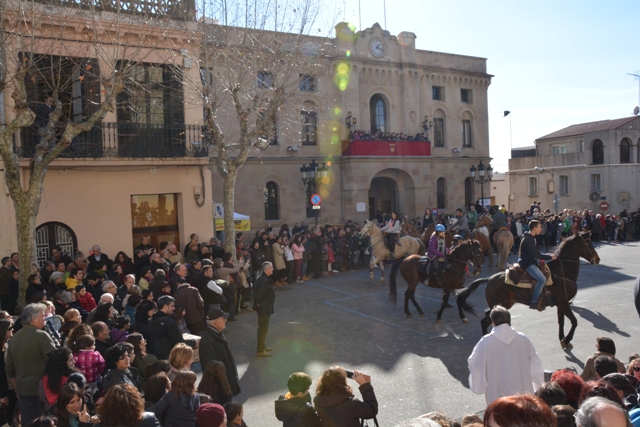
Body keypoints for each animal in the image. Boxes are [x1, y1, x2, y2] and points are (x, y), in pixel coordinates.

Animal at [456, 234, 600, 352]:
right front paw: (567, 339)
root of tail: (489, 279)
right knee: (485, 322)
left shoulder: (561, 304)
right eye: (588, 243)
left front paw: (562, 339)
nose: (597, 259)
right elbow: (574, 321)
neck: (561, 272)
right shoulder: (564, 304)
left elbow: (562, 322)